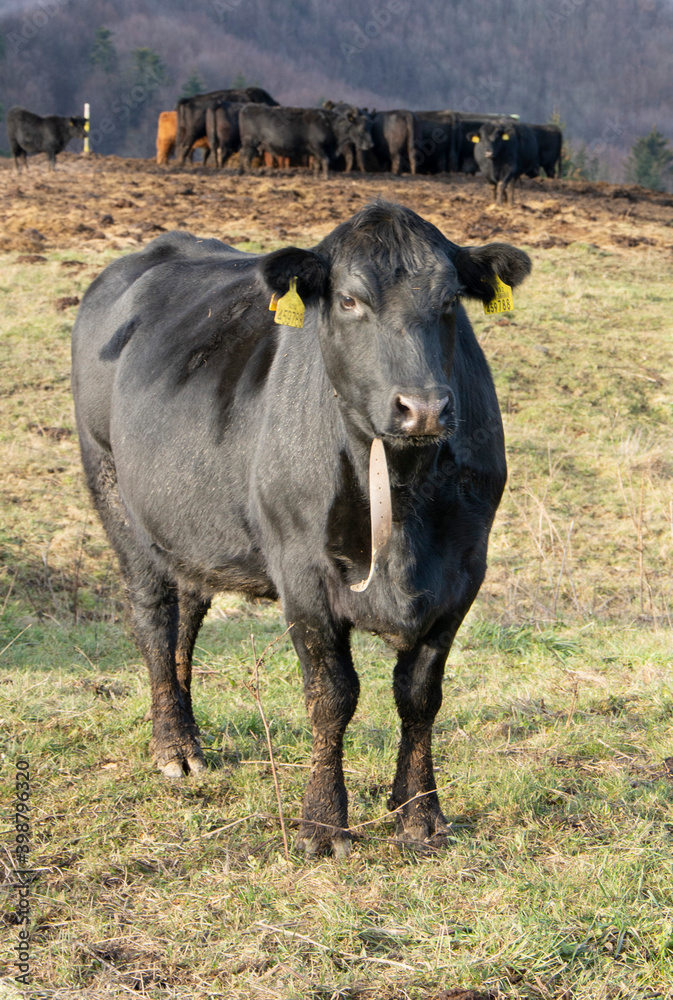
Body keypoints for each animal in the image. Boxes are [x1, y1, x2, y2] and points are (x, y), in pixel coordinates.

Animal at [69, 205, 532, 860]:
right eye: (349, 300)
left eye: (449, 302)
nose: (423, 408)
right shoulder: (303, 574)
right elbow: (332, 696)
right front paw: (323, 825)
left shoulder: (463, 570)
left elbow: (420, 696)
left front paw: (418, 815)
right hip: (115, 494)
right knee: (154, 620)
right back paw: (173, 748)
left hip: (187, 529)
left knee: (186, 617)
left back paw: (190, 735)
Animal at [236, 104, 372, 179]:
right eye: (362, 128)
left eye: (369, 126)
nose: (371, 144)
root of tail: (246, 107)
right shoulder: (318, 147)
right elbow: (325, 161)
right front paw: (326, 176)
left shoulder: (316, 152)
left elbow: (317, 164)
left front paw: (317, 176)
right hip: (250, 142)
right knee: (245, 156)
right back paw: (247, 172)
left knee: (245, 155)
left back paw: (243, 171)